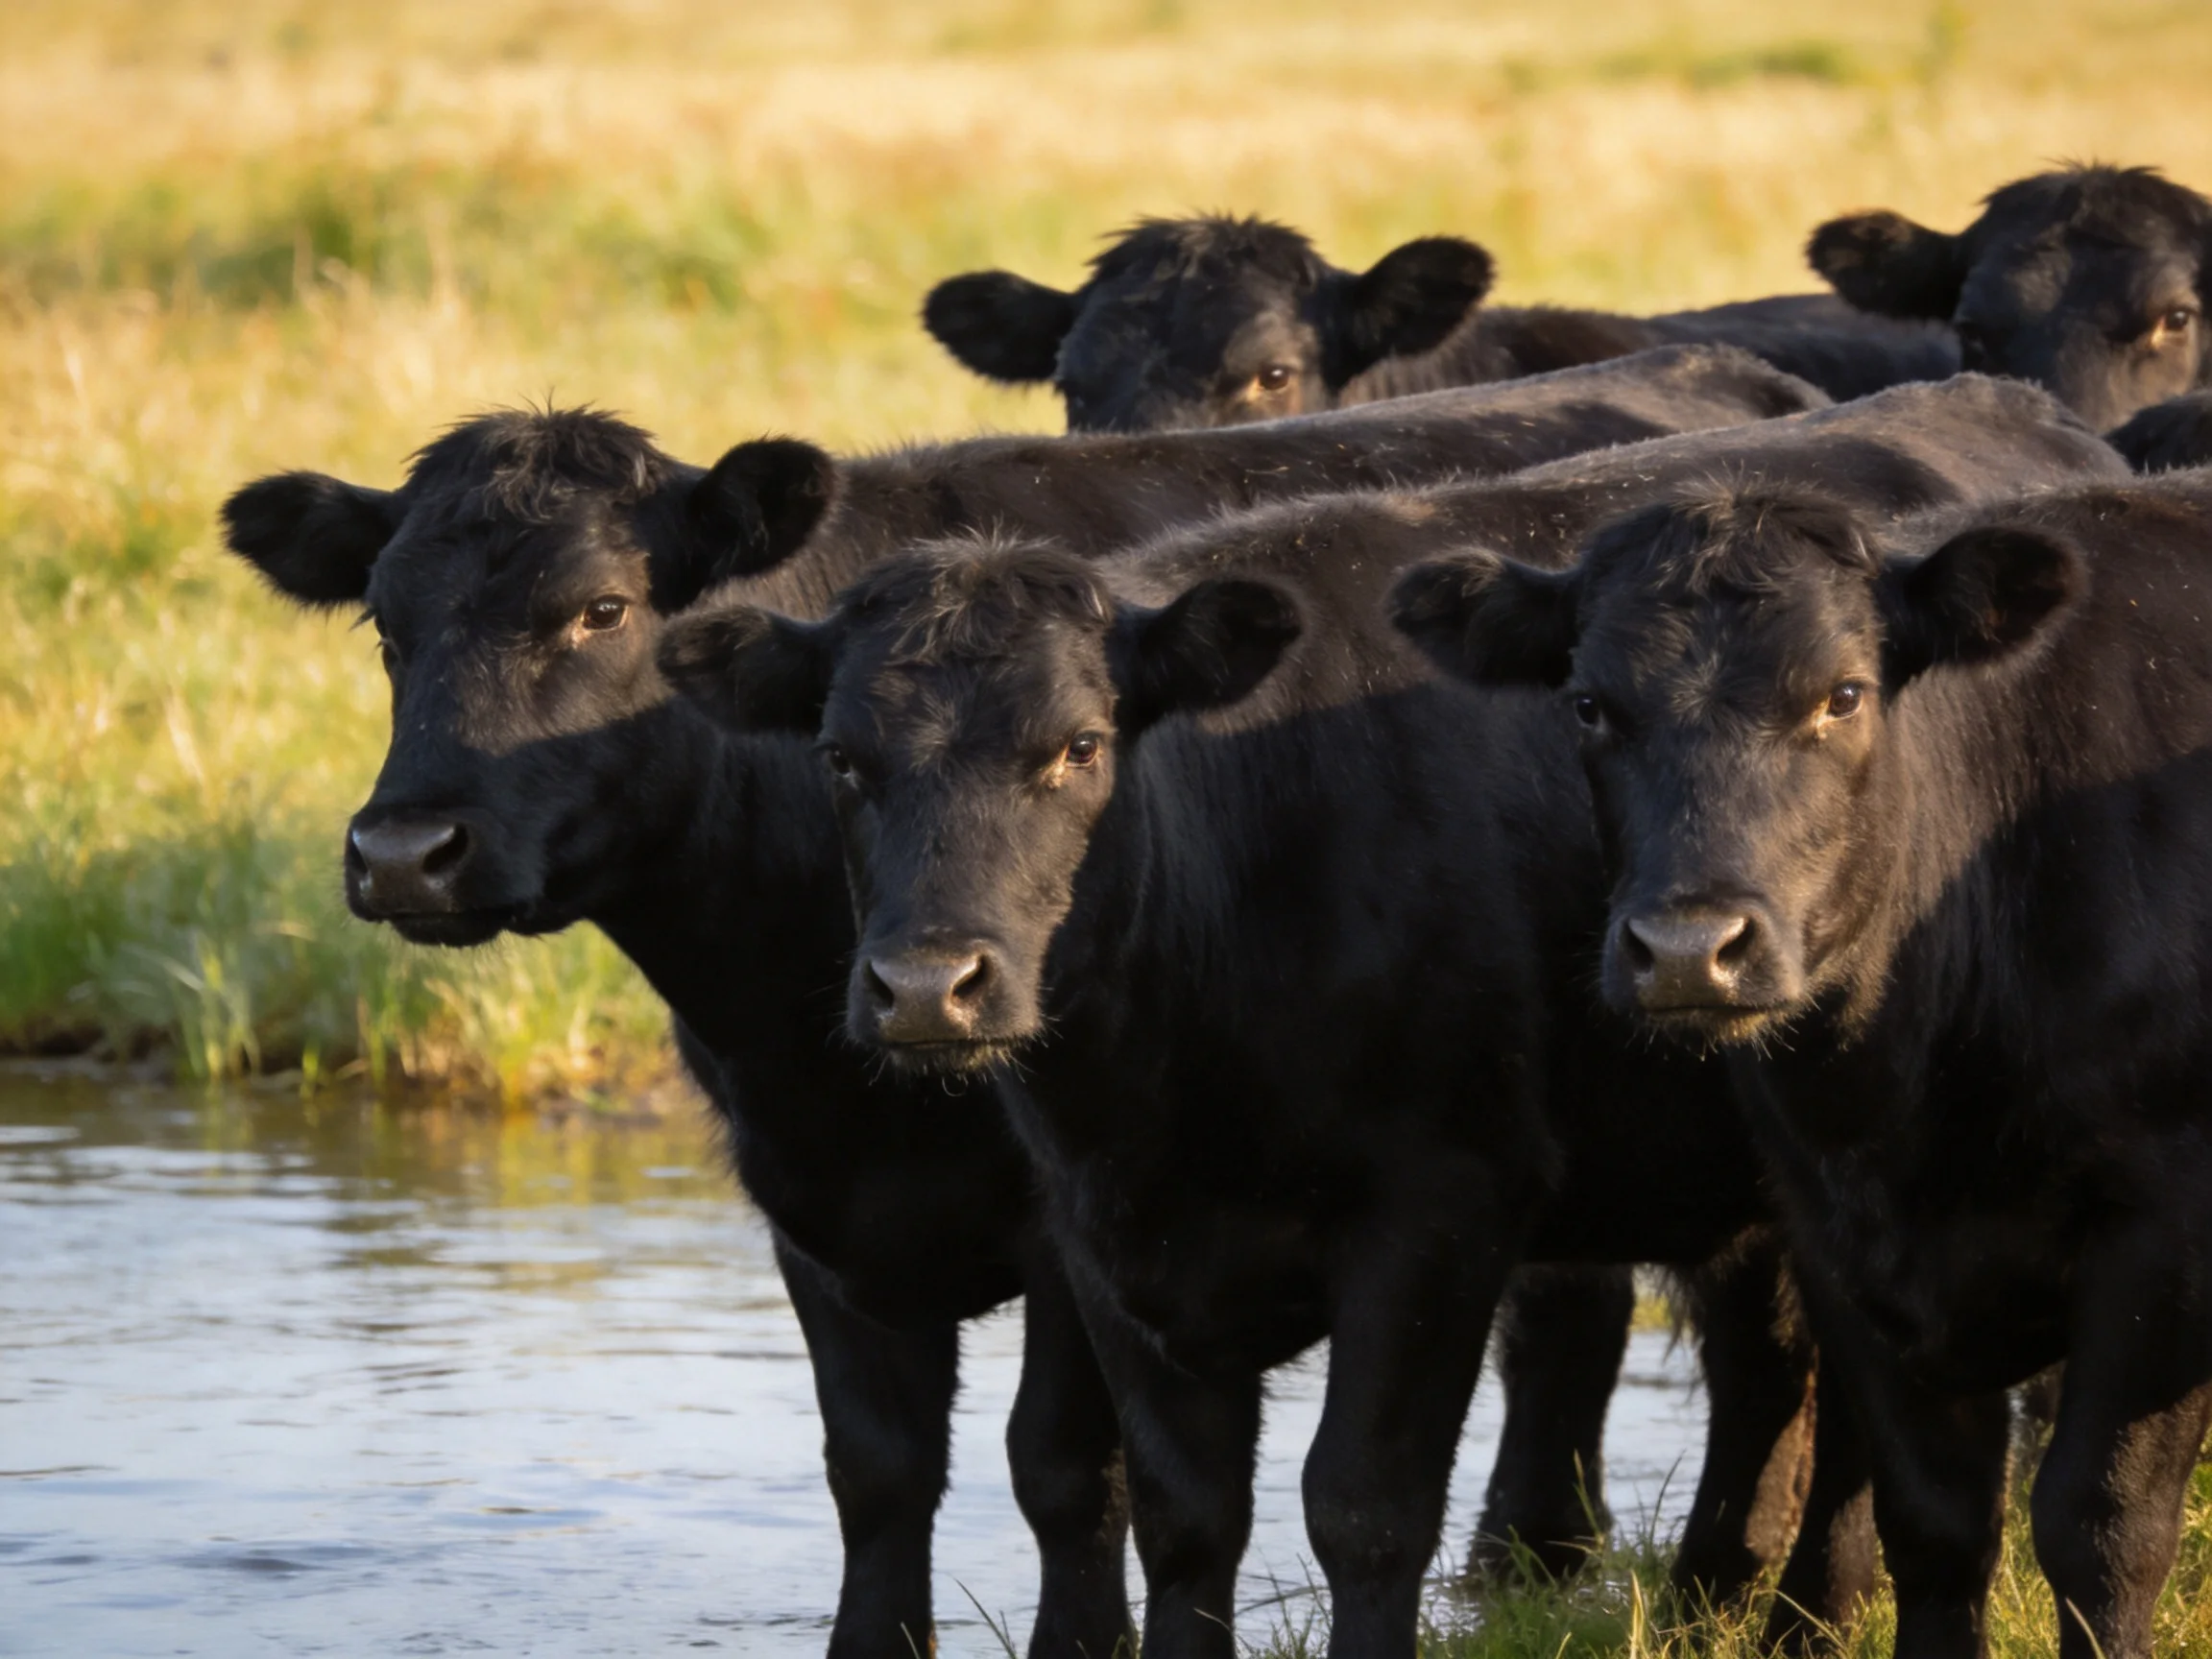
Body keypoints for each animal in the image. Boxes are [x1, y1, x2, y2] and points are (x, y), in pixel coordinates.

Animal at [212, 349, 1806, 1659]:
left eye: (600, 609)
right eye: (384, 623)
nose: (405, 850)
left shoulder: (1077, 1224)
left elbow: (1063, 1472)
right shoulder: (811, 1204)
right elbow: (879, 1470)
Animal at [660, 374, 2124, 1658]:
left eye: (1078, 746)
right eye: (842, 758)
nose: (924, 985)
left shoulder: (1436, 1217)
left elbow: (1362, 1508)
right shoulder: (1103, 1242)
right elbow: (1185, 1520)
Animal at [1392, 468, 2212, 1659]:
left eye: (1845, 694)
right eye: (1589, 705)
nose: (1690, 947)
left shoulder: (2163, 1237)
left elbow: (2100, 1528)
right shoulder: (1835, 1234)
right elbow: (1936, 1525)